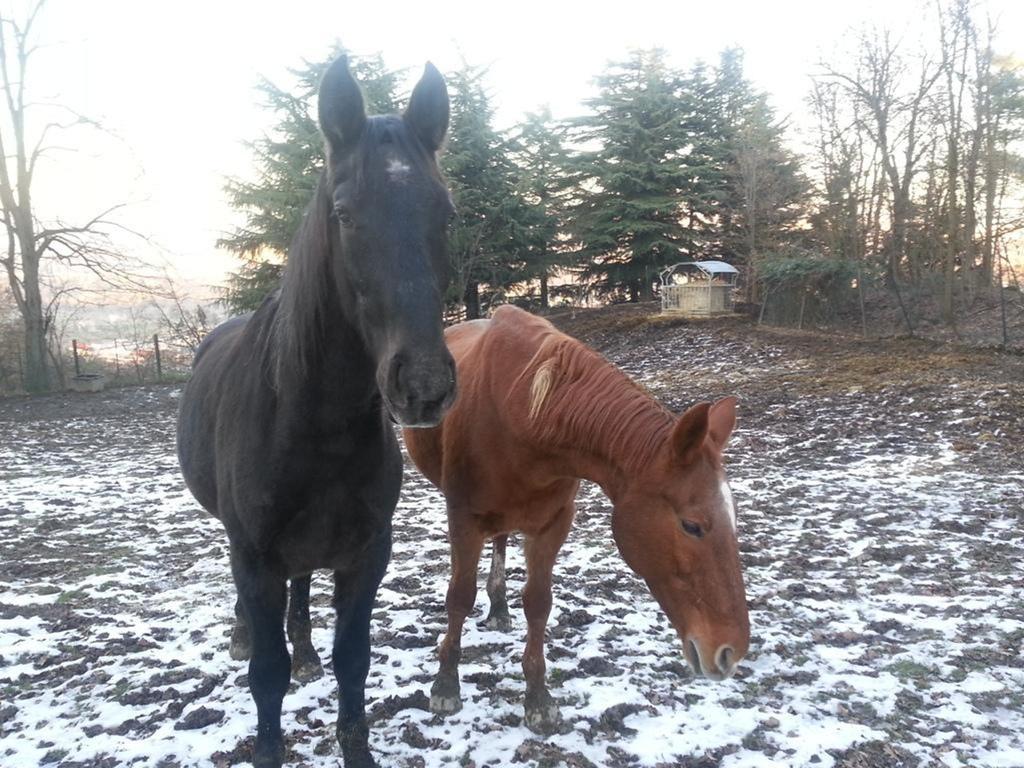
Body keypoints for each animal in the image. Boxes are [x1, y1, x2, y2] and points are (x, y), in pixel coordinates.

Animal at [177, 58, 456, 768]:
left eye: (445, 213)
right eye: (344, 213)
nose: (423, 386)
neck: (310, 422)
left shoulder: (366, 553)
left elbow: (352, 660)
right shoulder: (253, 556)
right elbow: (266, 675)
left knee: (302, 592)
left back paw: (303, 648)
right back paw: (244, 633)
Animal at [403, 307, 749, 733]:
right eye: (692, 525)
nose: (731, 651)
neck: (522, 416)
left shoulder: (554, 523)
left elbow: (539, 603)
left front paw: (538, 698)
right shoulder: (464, 517)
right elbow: (459, 598)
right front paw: (445, 686)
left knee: (501, 539)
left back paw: (499, 607)